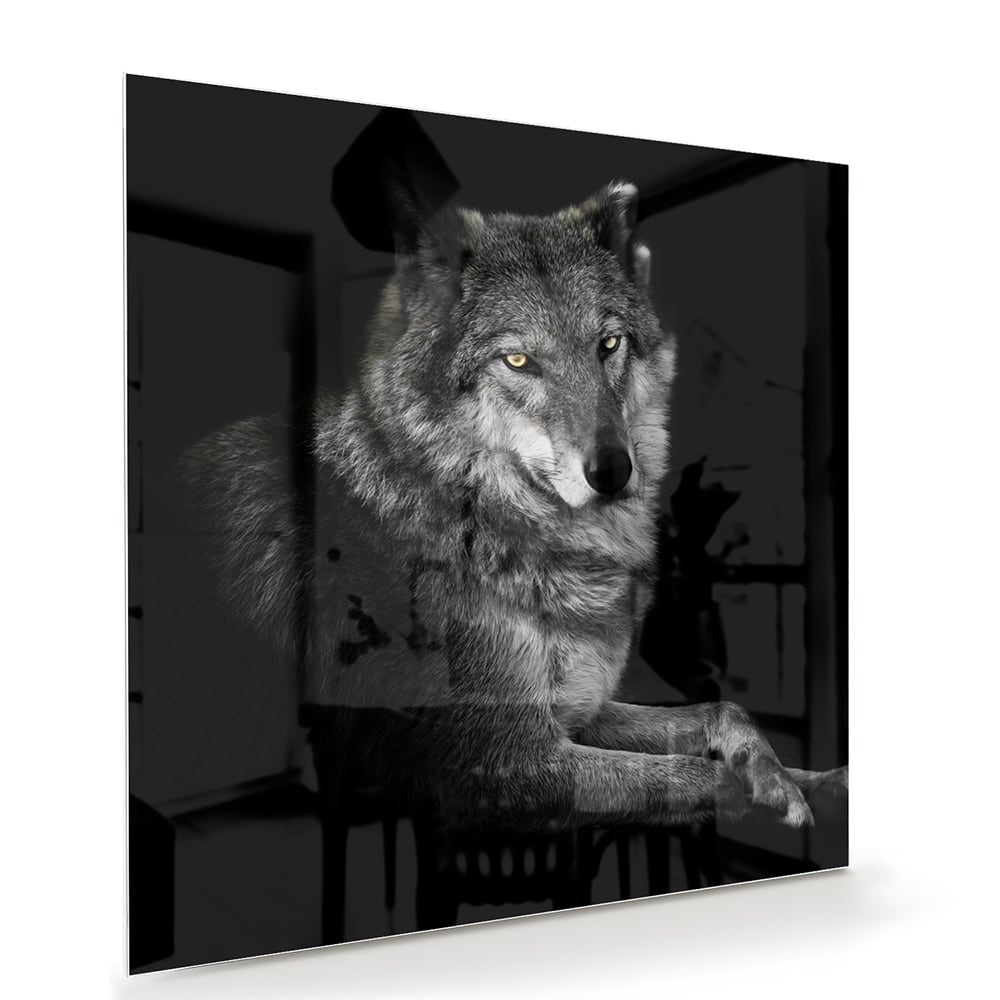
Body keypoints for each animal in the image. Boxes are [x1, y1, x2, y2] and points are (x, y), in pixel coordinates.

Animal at [186, 180, 846, 834]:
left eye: (608, 344)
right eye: (519, 360)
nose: (613, 471)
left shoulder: (581, 712)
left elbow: (725, 709)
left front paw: (803, 781)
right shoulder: (500, 759)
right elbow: (701, 774)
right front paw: (755, 794)